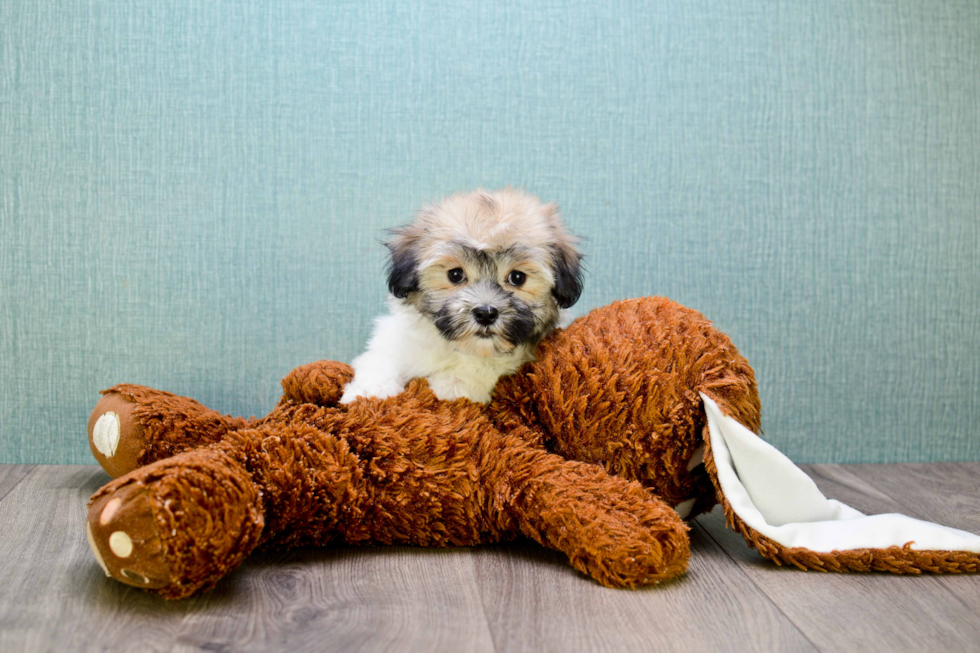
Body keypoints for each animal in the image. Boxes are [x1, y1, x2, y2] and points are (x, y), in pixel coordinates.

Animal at [338, 186, 580, 404]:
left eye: (517, 277)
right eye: (455, 275)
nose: (485, 313)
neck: (460, 348)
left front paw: (447, 387)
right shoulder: (397, 338)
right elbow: (382, 358)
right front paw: (368, 391)